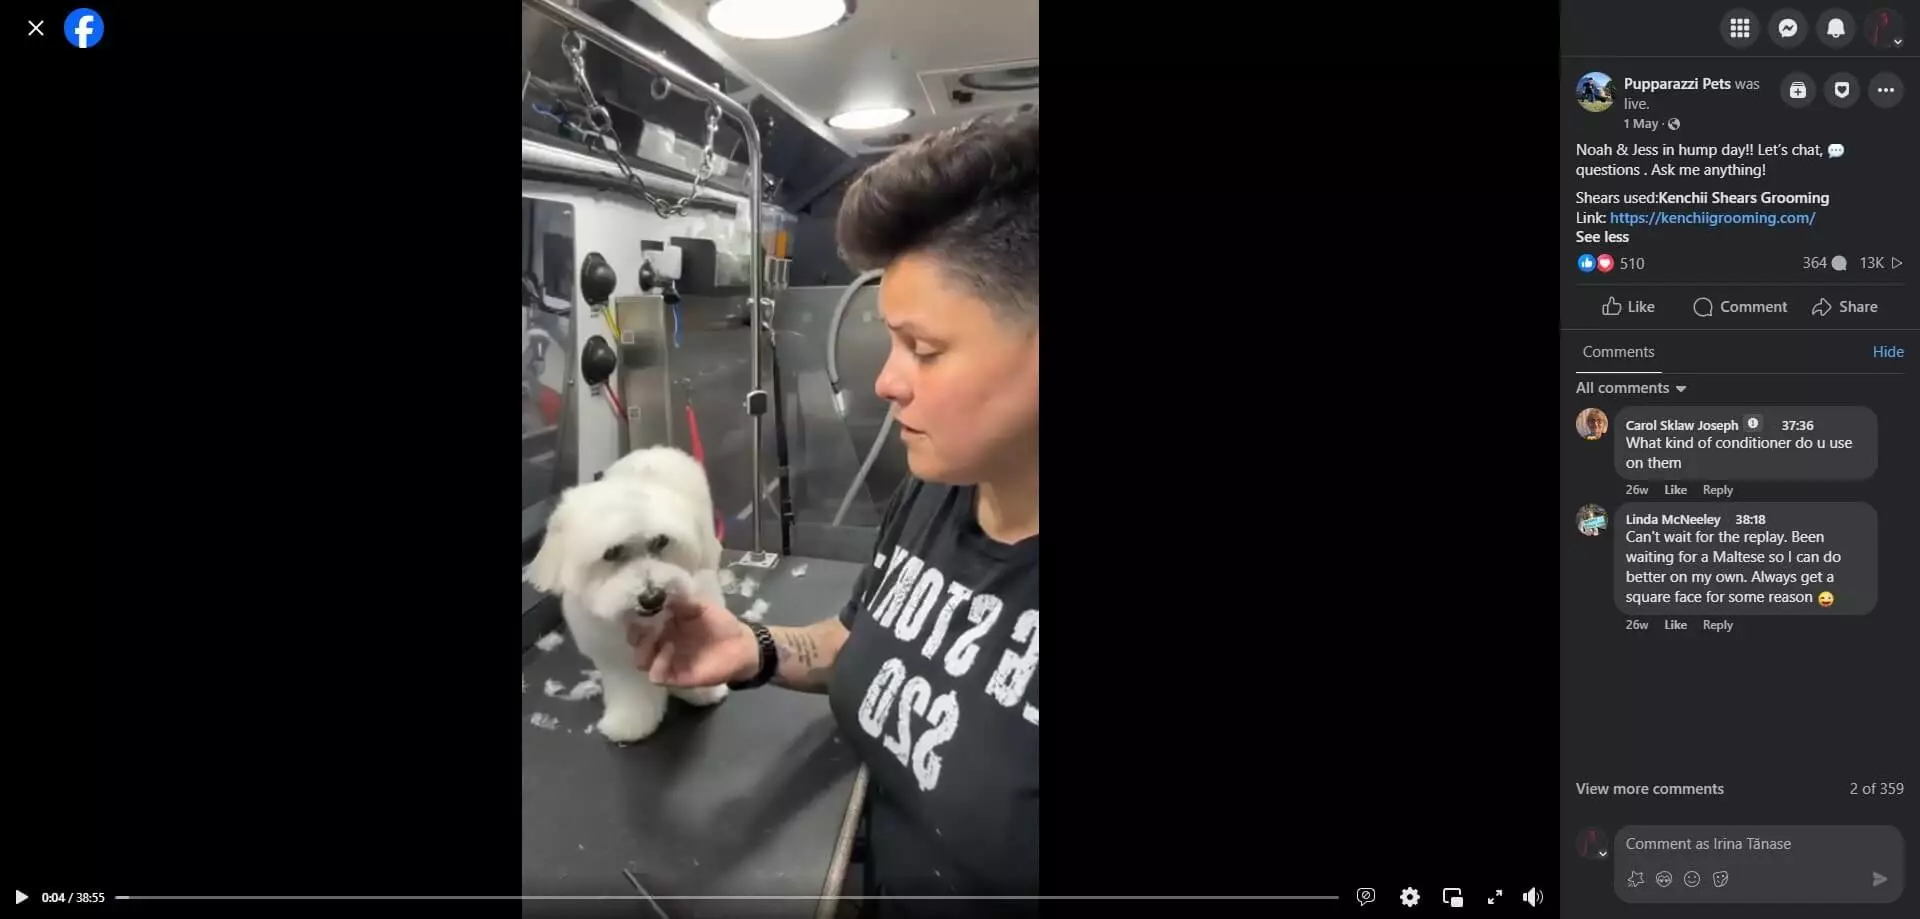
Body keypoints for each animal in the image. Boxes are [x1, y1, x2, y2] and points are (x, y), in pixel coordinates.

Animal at [526, 447, 725, 748]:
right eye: (611, 553)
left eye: (660, 541)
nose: (653, 597)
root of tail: (655, 450)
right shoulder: (615, 653)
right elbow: (630, 690)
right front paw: (630, 724)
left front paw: (704, 691)